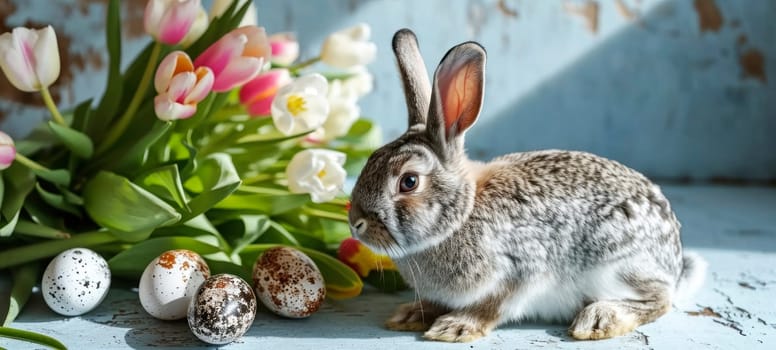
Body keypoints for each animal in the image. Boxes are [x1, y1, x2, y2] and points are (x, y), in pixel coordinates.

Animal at [348, 28, 708, 344]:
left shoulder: (521, 270)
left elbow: (494, 306)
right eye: (371, 160)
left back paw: (600, 318)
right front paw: (409, 315)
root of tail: (674, 261)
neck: (462, 216)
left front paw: (456, 327)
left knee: (659, 299)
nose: (356, 223)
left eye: (409, 182)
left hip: (620, 265)